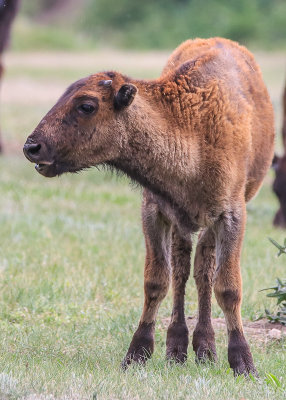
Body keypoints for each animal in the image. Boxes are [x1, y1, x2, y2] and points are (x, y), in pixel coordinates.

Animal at [23, 37, 274, 376]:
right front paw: (136, 354)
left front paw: (243, 363)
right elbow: (156, 280)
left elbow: (228, 288)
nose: (32, 147)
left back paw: (205, 349)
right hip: (182, 226)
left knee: (203, 272)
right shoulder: (154, 213)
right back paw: (178, 349)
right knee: (183, 271)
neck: (193, 127)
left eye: (87, 105)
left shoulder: (231, 215)